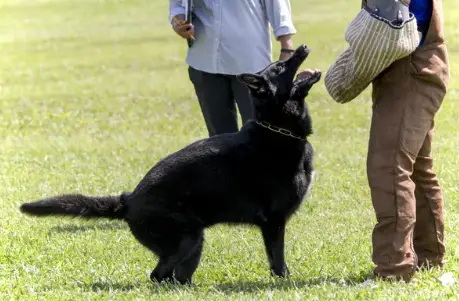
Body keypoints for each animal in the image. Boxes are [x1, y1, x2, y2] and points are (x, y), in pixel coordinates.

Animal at [20, 43, 324, 282]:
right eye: (281, 66)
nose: (302, 46)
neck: (277, 129)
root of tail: (128, 200)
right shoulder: (273, 223)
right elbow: (278, 262)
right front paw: (285, 282)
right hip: (188, 240)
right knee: (158, 276)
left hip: (194, 244)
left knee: (176, 278)